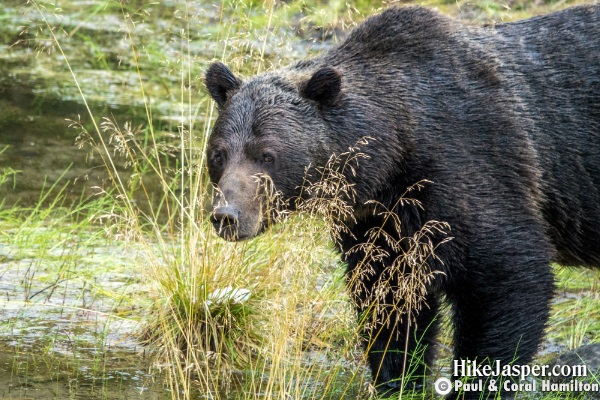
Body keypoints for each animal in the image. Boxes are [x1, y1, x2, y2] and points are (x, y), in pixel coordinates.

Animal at [205, 4, 600, 398]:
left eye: (267, 155)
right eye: (219, 154)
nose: (227, 215)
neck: (393, 152)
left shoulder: (475, 164)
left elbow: (509, 279)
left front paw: (476, 383)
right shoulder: (378, 224)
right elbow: (390, 306)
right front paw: (399, 378)